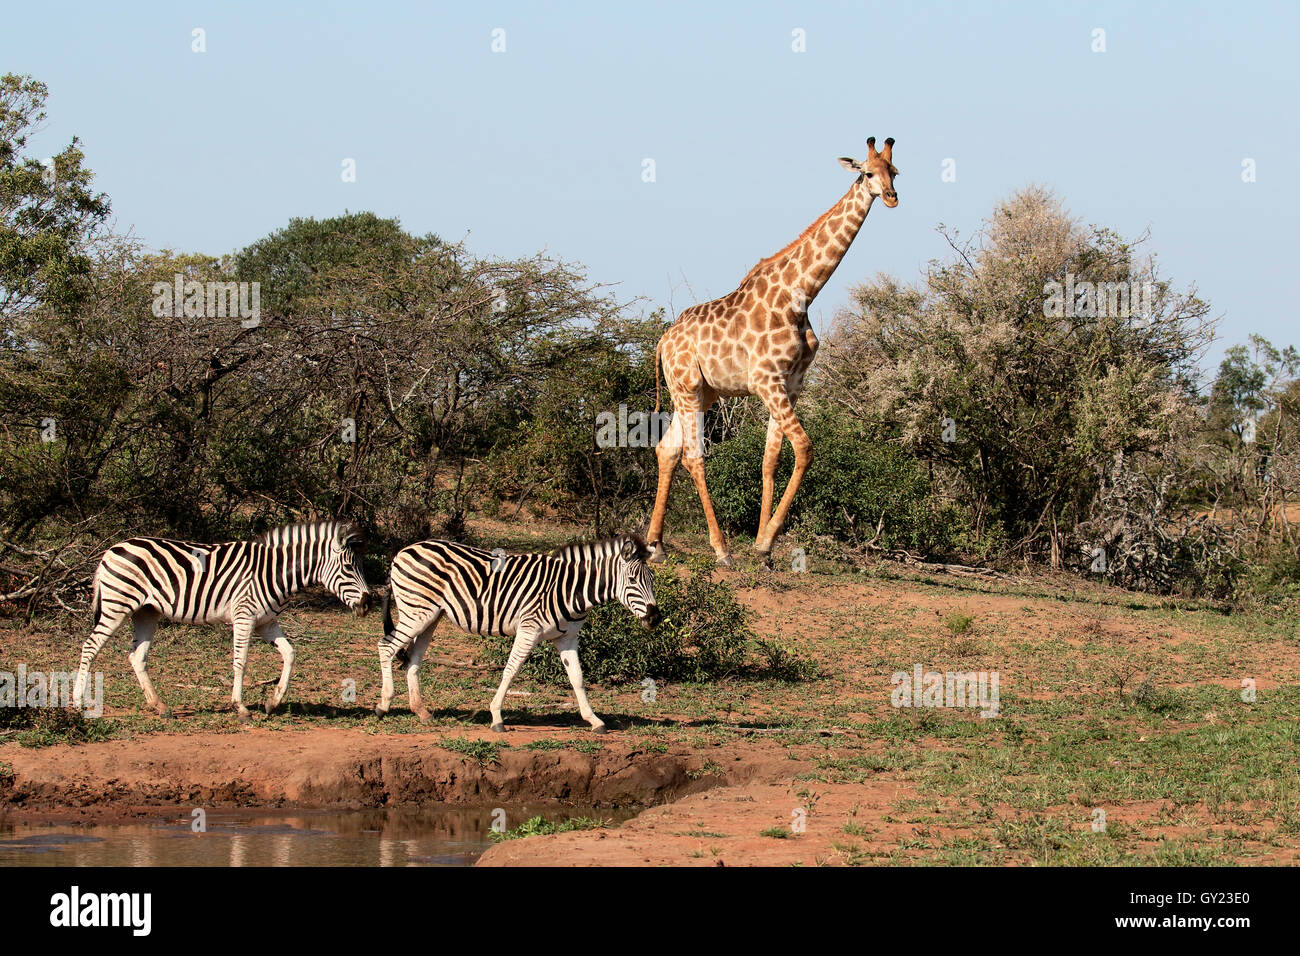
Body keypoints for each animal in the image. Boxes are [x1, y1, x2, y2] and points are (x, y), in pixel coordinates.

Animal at [71, 520, 372, 720]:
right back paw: (76, 703)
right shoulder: (244, 616)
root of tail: (112, 549)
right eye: (349, 567)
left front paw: (273, 703)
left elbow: (290, 654)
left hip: (145, 612)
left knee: (136, 656)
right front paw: (240, 707)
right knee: (90, 646)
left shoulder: (266, 622)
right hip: (117, 605)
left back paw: (159, 706)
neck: (274, 572)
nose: (367, 603)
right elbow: (241, 661)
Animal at [376, 533, 660, 733]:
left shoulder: (567, 637)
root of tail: (403, 551)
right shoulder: (528, 629)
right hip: (416, 612)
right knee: (386, 647)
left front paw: (594, 720)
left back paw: (421, 711)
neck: (571, 589)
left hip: (430, 616)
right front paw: (496, 717)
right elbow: (510, 671)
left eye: (652, 580)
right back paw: (383, 705)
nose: (654, 618)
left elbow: (577, 678)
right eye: (633, 581)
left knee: (412, 658)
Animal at [646, 137, 899, 565]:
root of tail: (664, 341)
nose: (892, 197)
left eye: (894, 172)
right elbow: (805, 448)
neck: (801, 295)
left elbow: (771, 458)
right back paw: (720, 550)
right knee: (692, 455)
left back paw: (656, 546)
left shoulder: (791, 382)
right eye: (868, 173)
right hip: (686, 386)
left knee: (668, 449)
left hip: (698, 392)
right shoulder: (767, 380)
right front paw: (764, 541)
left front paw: (763, 547)